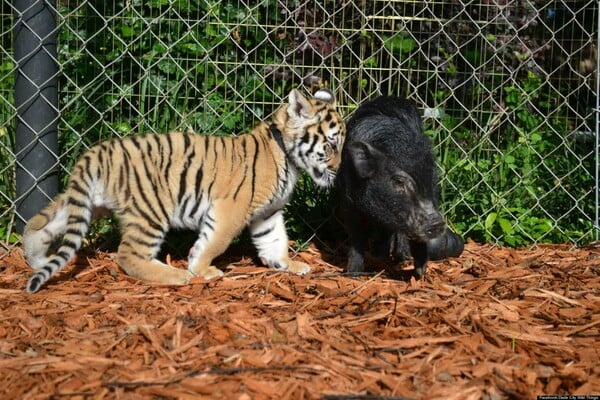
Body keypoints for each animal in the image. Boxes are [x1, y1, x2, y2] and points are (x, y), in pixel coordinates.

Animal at [338, 96, 464, 276]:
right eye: (398, 181)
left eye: (432, 179)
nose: (437, 223)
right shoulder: (347, 201)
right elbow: (356, 237)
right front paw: (353, 274)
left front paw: (419, 273)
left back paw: (402, 257)